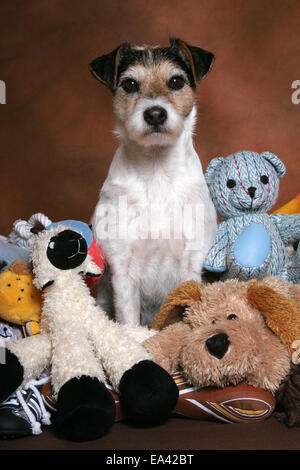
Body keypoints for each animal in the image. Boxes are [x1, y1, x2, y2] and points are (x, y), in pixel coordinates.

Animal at [89, 37, 218, 326]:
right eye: (129, 84)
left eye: (176, 81)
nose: (155, 114)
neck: (157, 170)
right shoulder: (123, 269)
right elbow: (128, 322)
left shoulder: (191, 260)